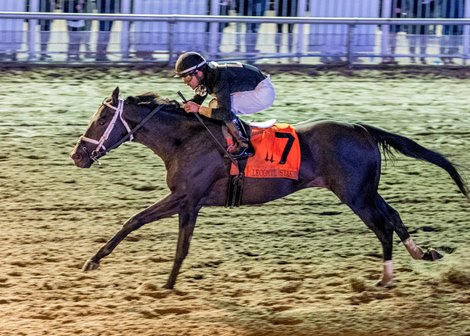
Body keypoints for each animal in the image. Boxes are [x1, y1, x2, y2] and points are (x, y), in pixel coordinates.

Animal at [70, 86, 466, 288]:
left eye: (102, 119)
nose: (77, 155)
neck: (185, 140)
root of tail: (361, 128)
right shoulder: (189, 202)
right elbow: (164, 238)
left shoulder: (186, 197)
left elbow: (143, 225)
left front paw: (102, 263)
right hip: (366, 190)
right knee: (394, 215)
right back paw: (422, 253)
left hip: (355, 195)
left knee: (382, 226)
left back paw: (386, 277)